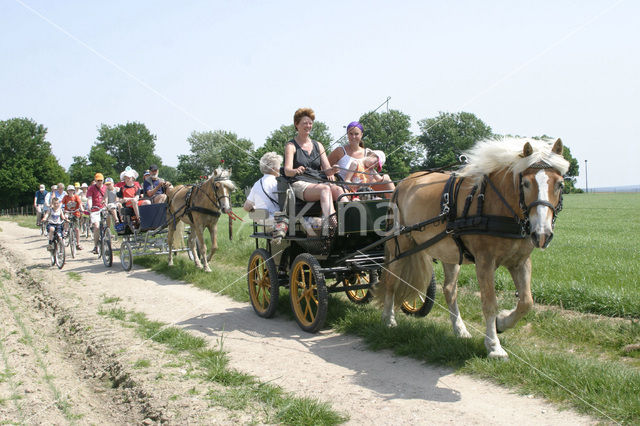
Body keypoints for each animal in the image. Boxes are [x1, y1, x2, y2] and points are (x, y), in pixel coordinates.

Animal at [378, 138, 568, 358]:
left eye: (560, 184)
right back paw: (389, 319)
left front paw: (502, 323)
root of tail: (403, 183)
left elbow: (526, 302)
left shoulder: (520, 262)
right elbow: (489, 303)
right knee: (391, 279)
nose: (542, 234)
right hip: (400, 244)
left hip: (448, 251)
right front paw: (494, 346)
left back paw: (459, 329)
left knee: (449, 290)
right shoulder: (485, 261)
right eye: (526, 183)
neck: (499, 205)